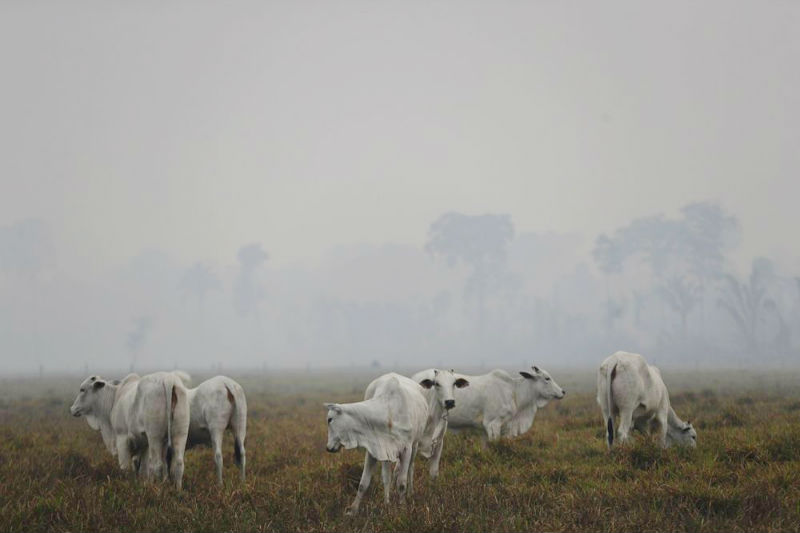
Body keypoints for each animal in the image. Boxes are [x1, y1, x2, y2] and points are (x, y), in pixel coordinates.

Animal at [324, 372, 432, 512]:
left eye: (330, 419)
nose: (328, 448)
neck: (388, 412)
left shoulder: (406, 449)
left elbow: (401, 483)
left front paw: (402, 507)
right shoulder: (375, 448)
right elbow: (364, 483)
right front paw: (353, 509)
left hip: (415, 445)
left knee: (410, 468)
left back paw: (410, 493)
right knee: (387, 477)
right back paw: (387, 502)